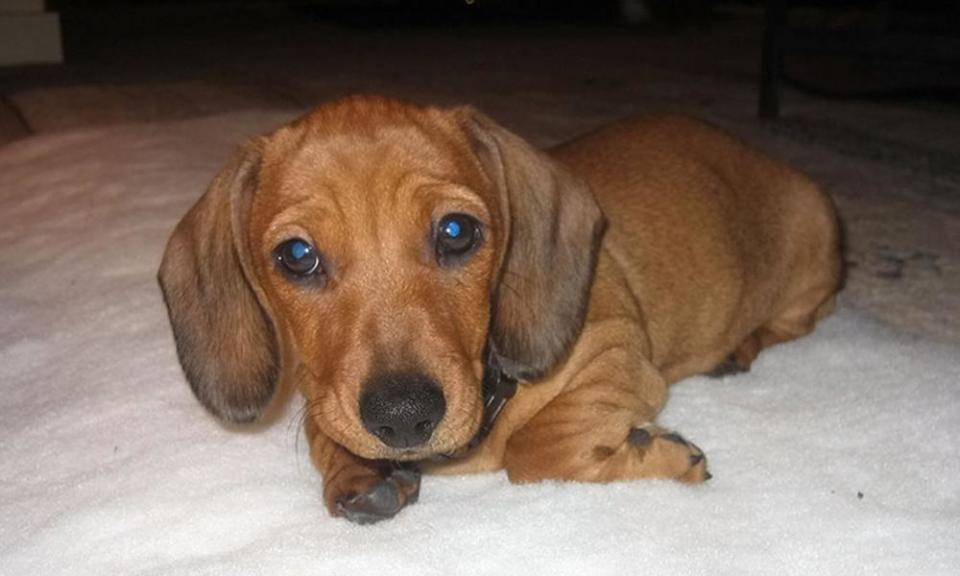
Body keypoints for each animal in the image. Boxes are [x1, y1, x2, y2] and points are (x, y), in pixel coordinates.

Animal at [158, 97, 840, 524]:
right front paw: (356, 474)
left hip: (813, 262)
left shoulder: (614, 355)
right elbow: (329, 427)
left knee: (792, 322)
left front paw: (655, 450)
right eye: (297, 256)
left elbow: (535, 451)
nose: (403, 418)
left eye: (457, 231)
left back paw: (738, 348)